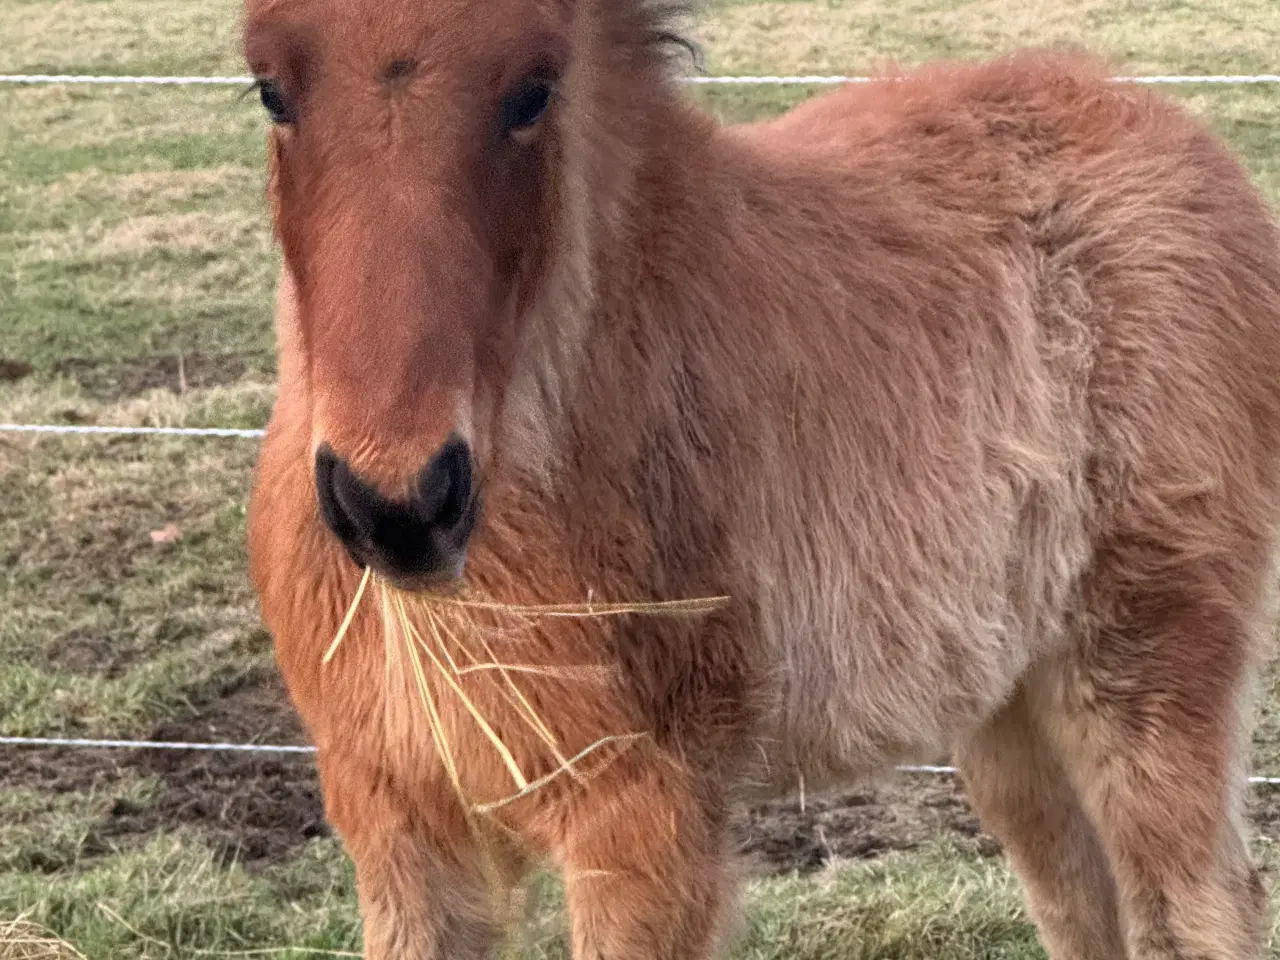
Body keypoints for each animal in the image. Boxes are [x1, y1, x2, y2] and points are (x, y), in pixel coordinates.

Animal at [238, 0, 1280, 957]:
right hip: (1008, 701)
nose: (400, 508)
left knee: (1199, 904)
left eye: (534, 91)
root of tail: (1170, 130)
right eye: (271, 89)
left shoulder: (646, 824)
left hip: (1145, 662)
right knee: (1079, 899)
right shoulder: (398, 826)